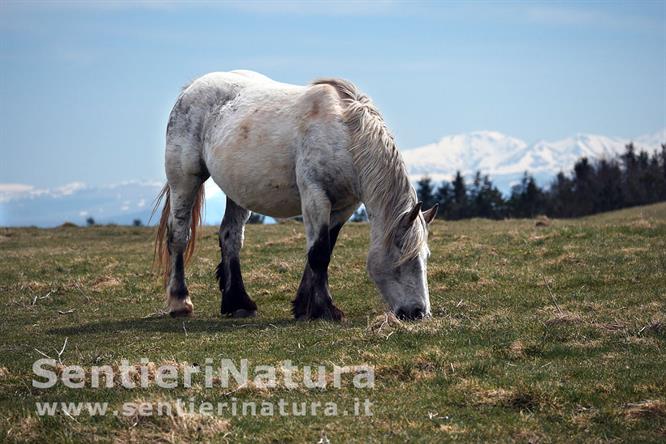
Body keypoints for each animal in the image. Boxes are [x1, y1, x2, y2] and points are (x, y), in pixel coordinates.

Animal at [153, 69, 438, 320]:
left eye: (425, 257)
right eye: (404, 257)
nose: (418, 312)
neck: (346, 133)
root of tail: (192, 87)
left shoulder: (343, 208)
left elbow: (323, 250)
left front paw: (303, 307)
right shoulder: (315, 196)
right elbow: (319, 252)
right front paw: (325, 310)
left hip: (236, 191)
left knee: (230, 237)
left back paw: (238, 303)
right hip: (184, 180)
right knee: (178, 235)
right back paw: (180, 302)